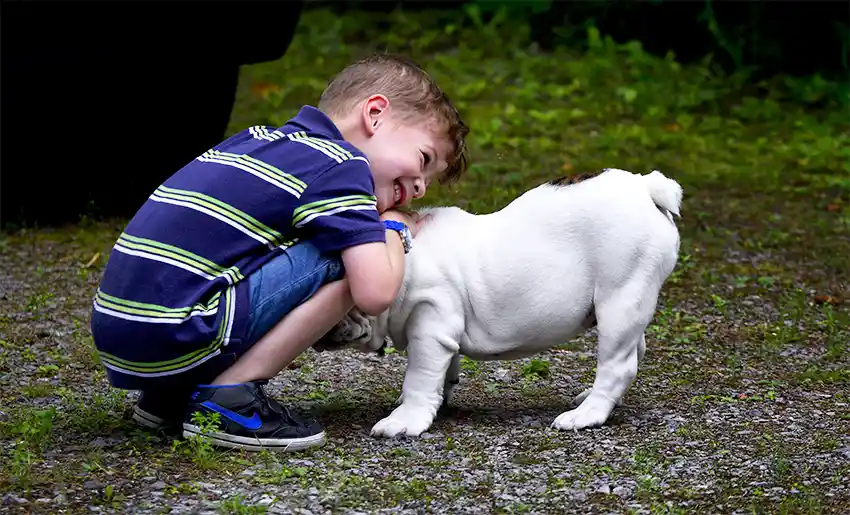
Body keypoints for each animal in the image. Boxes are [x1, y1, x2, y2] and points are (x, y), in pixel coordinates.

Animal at [318, 169, 684, 440]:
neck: (400, 258)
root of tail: (645, 187)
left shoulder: (430, 326)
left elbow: (419, 378)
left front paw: (405, 419)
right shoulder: (442, 333)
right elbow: (445, 371)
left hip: (620, 297)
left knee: (617, 364)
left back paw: (585, 415)